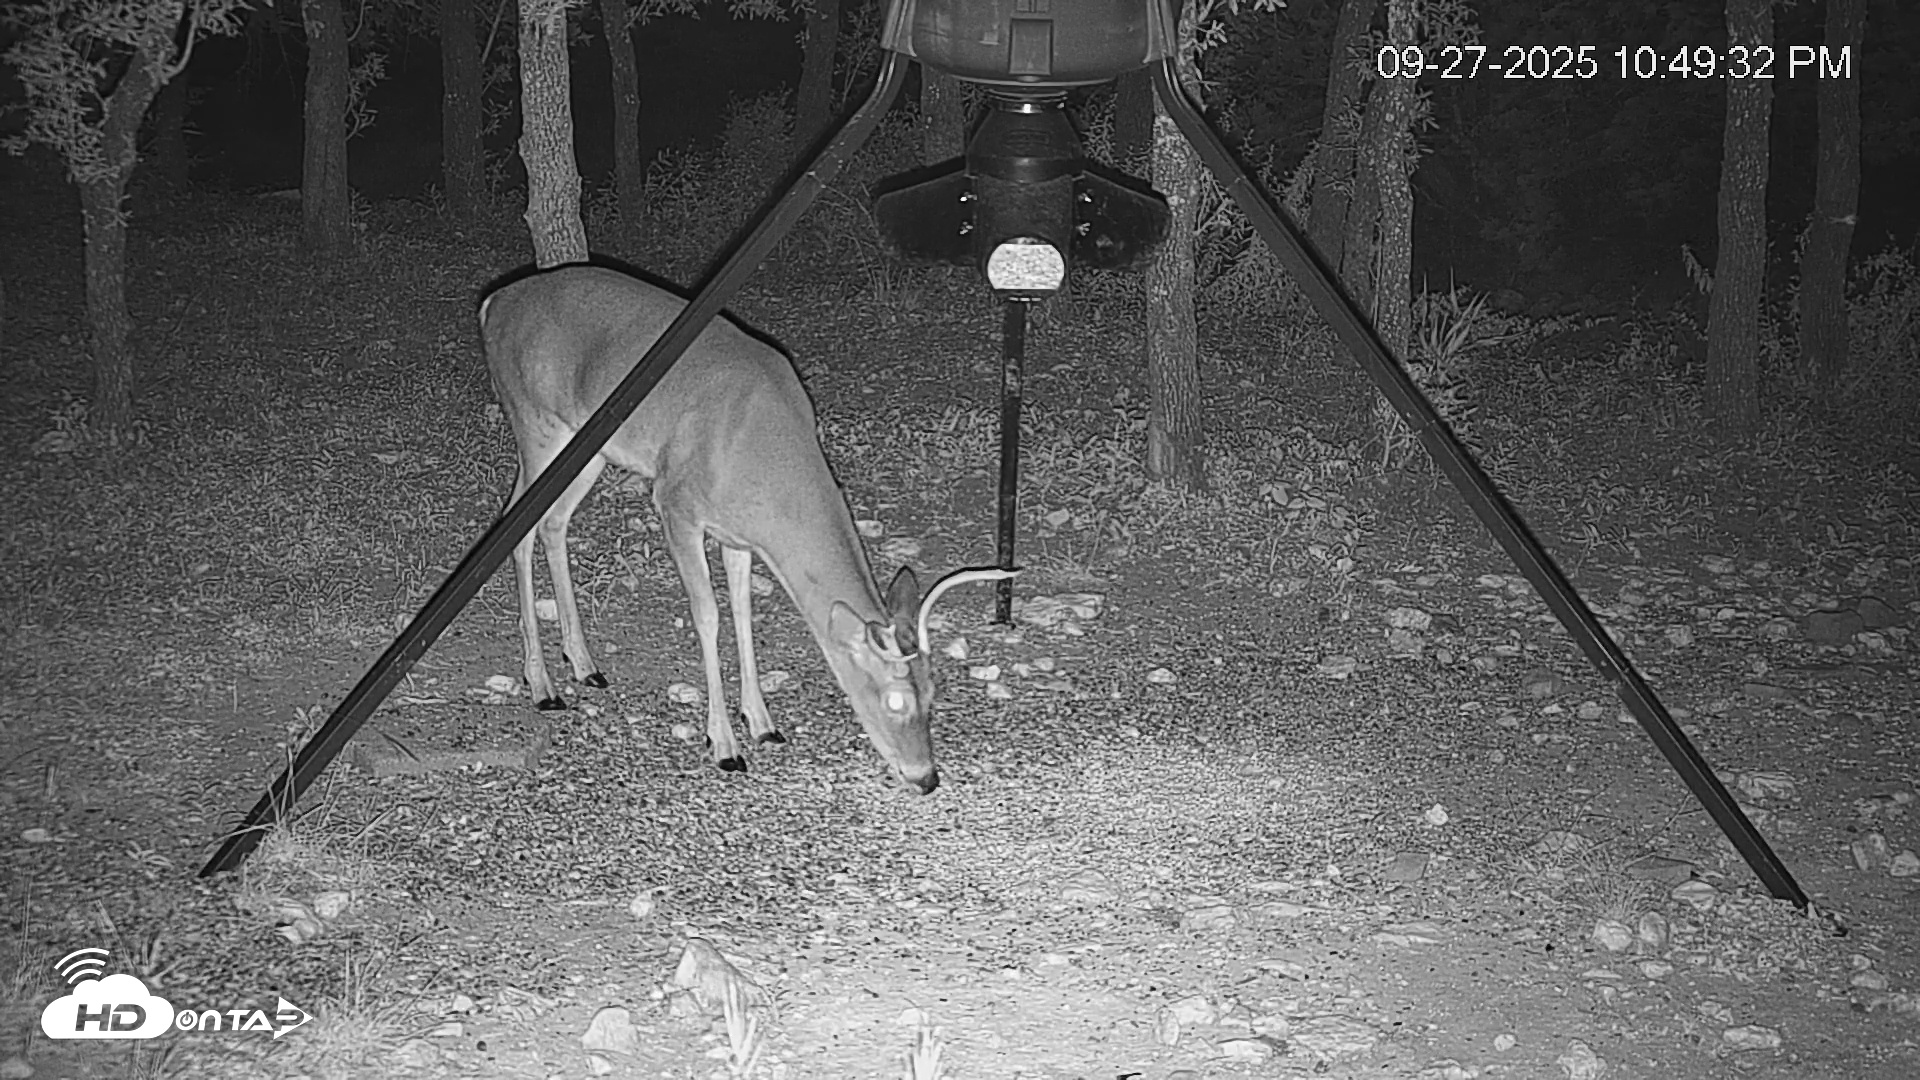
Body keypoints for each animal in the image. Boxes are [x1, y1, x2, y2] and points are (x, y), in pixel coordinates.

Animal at [479, 264, 1009, 794]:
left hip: (584, 449)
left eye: (933, 689)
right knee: (517, 525)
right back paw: (541, 685)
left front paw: (762, 723)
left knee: (554, 523)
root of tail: (497, 301)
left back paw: (584, 665)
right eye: (894, 698)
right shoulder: (676, 501)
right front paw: (724, 745)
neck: (763, 456)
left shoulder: (738, 534)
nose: (926, 777)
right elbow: (708, 615)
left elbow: (743, 613)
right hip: (534, 423)